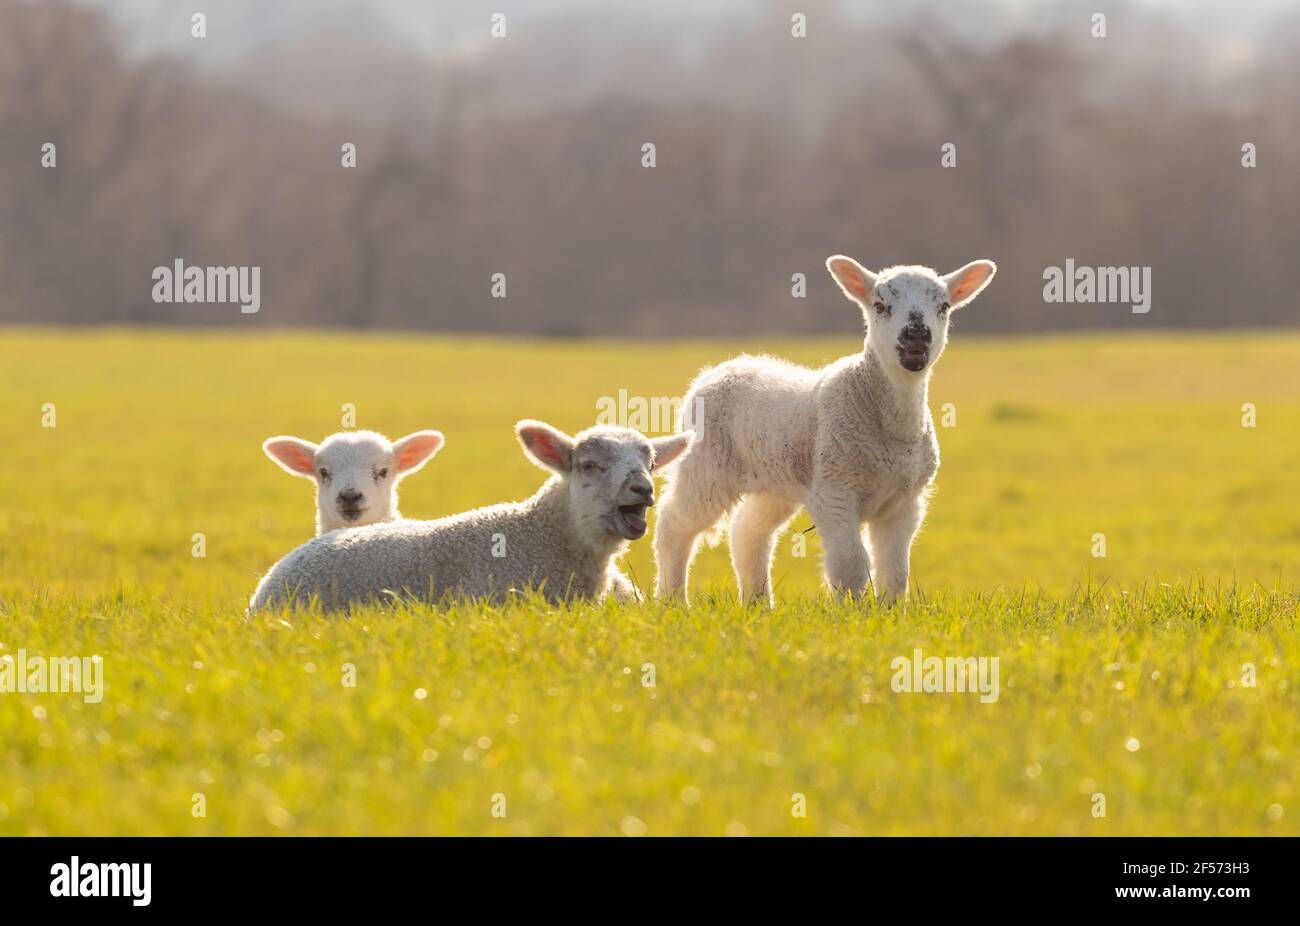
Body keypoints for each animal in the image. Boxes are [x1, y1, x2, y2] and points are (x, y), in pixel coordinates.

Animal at [655, 256, 998, 608]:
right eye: (880, 305)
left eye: (943, 306)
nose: (916, 335)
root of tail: (716, 370)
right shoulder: (835, 489)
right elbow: (851, 562)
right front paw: (850, 611)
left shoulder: (905, 499)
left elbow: (896, 568)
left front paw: (889, 611)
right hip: (708, 464)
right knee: (674, 523)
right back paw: (673, 599)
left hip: (775, 481)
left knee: (747, 532)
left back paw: (757, 603)